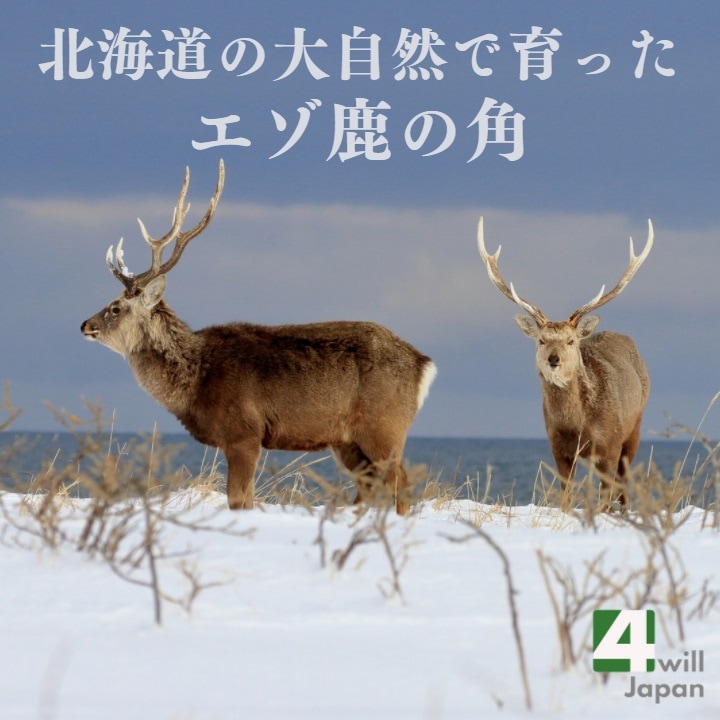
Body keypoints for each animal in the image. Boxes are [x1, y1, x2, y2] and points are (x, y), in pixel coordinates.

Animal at [81, 160, 436, 515]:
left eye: (115, 307)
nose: (85, 325)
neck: (197, 381)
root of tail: (424, 364)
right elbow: (245, 499)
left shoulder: (244, 433)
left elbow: (238, 499)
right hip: (349, 440)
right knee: (368, 488)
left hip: (384, 426)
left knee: (401, 484)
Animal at [476, 216, 653, 507]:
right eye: (541, 340)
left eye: (571, 341)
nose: (553, 359)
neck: (578, 426)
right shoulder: (558, 448)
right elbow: (566, 497)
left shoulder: (610, 445)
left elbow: (606, 497)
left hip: (635, 426)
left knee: (623, 486)